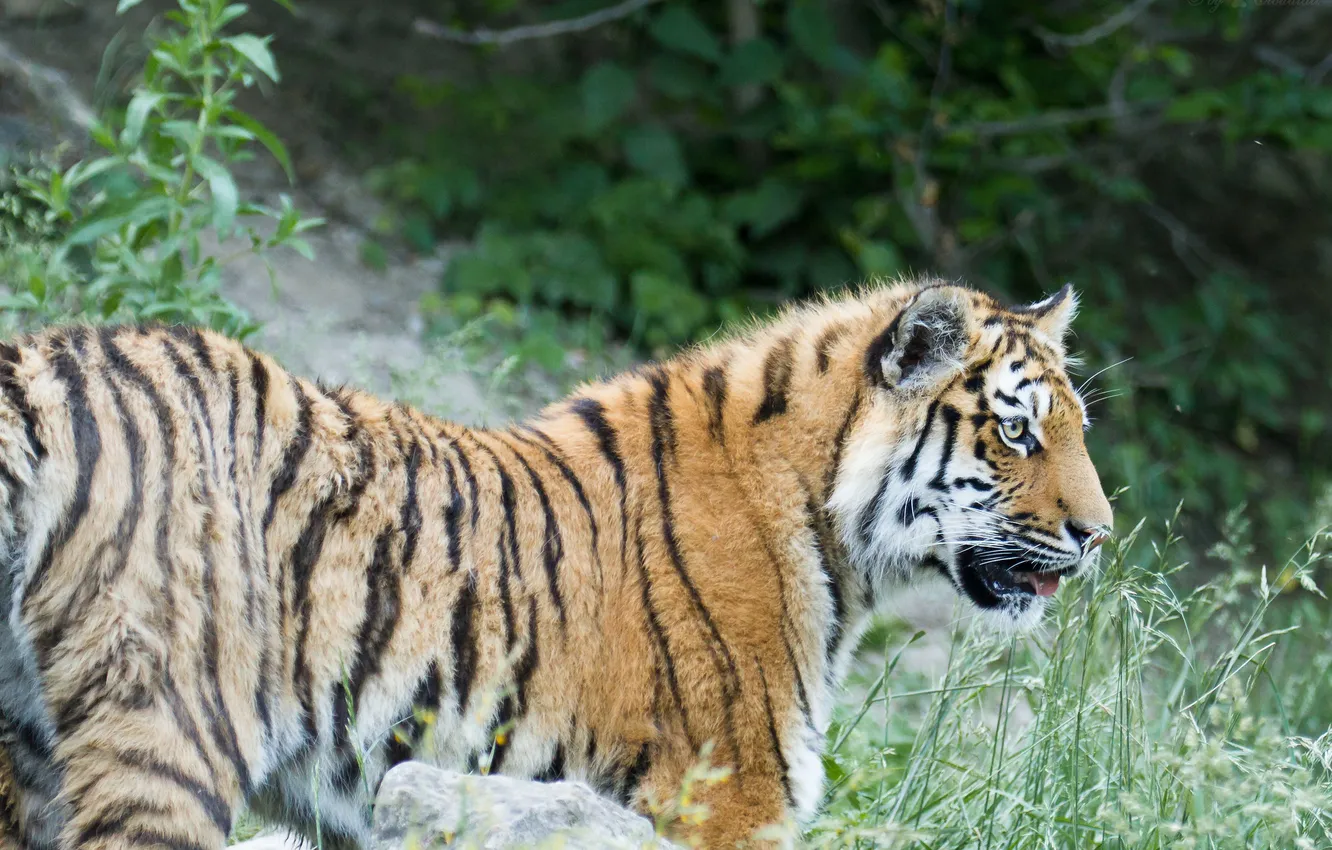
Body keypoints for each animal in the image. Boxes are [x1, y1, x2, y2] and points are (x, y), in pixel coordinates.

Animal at [0, 277, 1112, 850]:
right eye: (1016, 431)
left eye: (1077, 429)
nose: (1101, 535)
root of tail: (48, 361)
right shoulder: (730, 799)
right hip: (168, 734)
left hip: (31, 751)